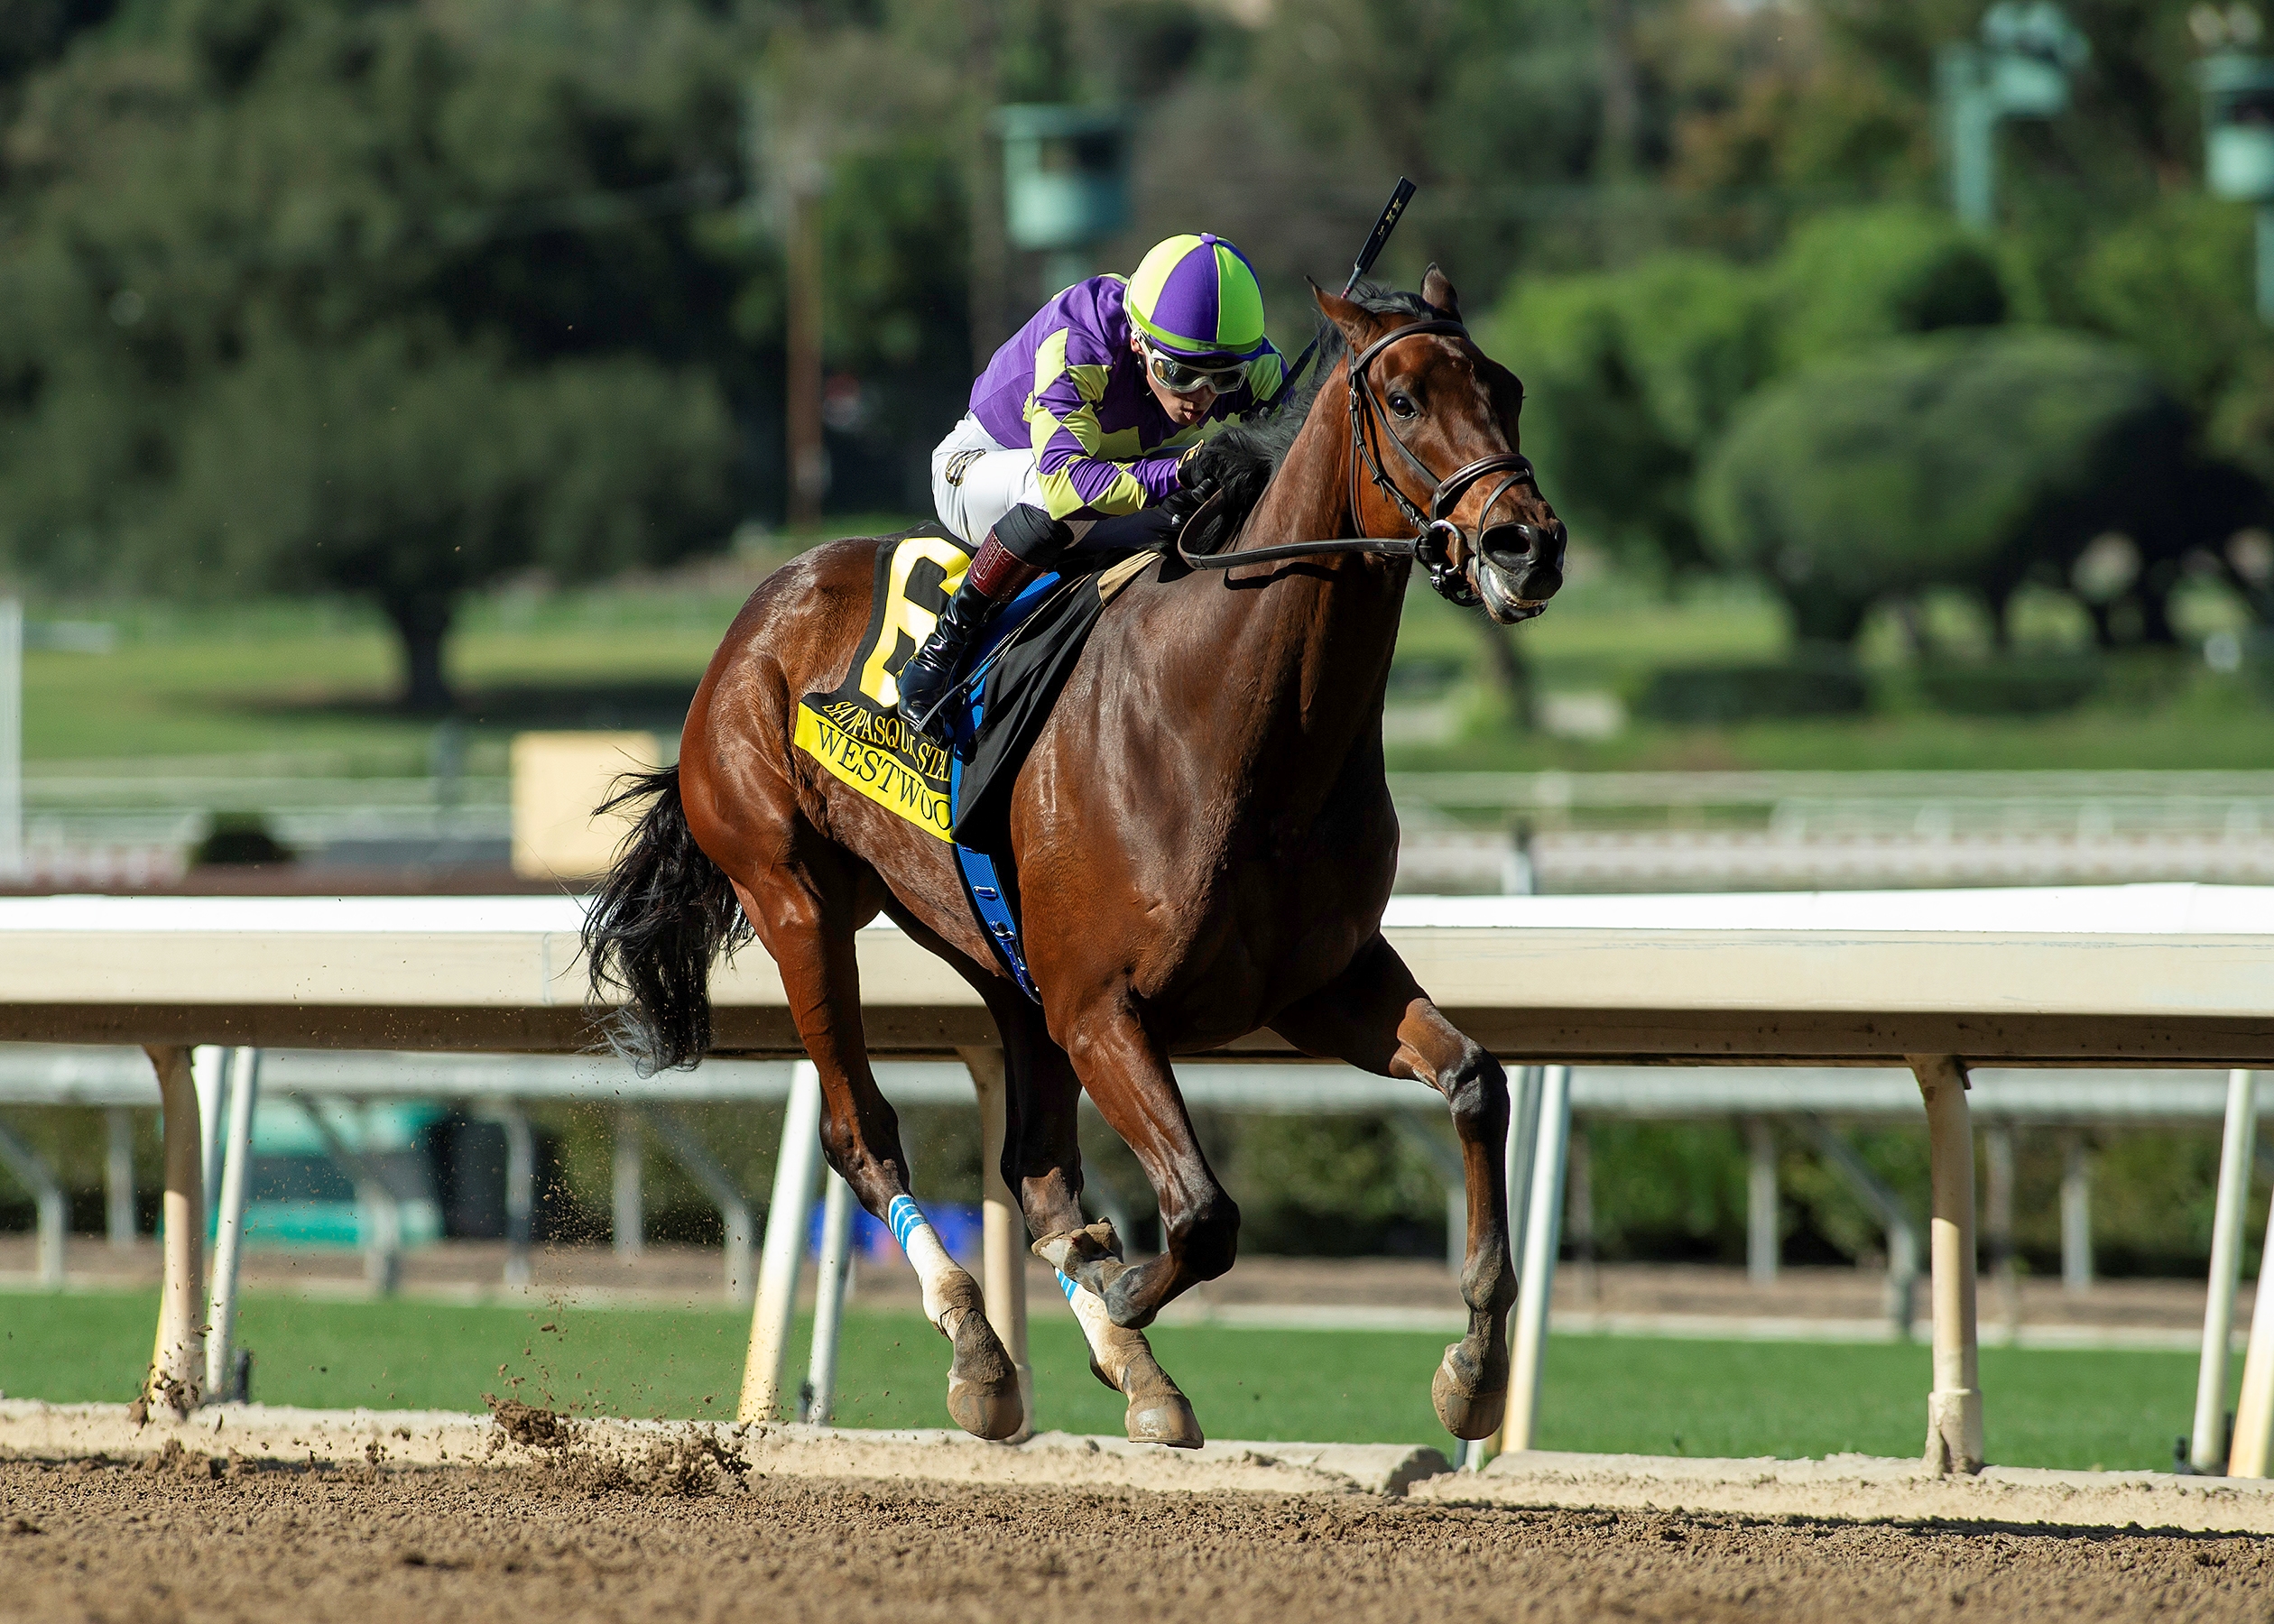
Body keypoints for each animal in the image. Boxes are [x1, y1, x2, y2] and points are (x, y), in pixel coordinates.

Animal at [584, 268, 1569, 1448]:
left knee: (1039, 1172)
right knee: (863, 1132)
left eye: (1508, 390)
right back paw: (981, 1348)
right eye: (1407, 400)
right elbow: (1202, 1213)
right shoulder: (1104, 1006)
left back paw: (1131, 1374)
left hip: (1000, 960)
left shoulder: (1321, 983)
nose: (1527, 545)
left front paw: (1474, 1369)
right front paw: (1122, 1287)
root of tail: (761, 608)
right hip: (796, 900)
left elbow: (1475, 1084)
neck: (1237, 721)